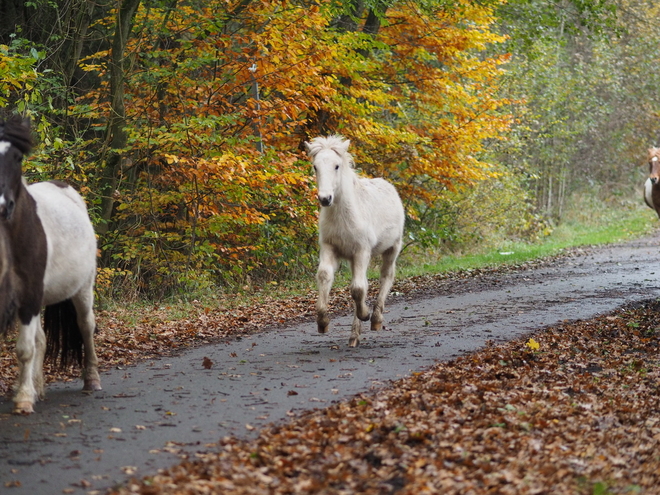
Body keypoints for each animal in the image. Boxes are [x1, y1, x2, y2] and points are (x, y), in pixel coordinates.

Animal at [0, 117, 100, 414]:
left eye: (17, 157)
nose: (2, 206)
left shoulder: (30, 296)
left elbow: (24, 349)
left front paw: (23, 400)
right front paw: (26, 392)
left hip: (82, 289)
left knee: (86, 325)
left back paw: (91, 380)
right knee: (41, 339)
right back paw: (38, 388)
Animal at [306, 134, 408, 346]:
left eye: (336, 166)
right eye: (315, 166)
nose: (325, 198)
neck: (343, 215)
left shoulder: (362, 251)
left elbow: (359, 289)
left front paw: (365, 314)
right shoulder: (329, 248)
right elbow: (325, 276)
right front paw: (323, 322)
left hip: (392, 248)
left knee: (385, 276)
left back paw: (375, 319)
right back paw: (354, 336)